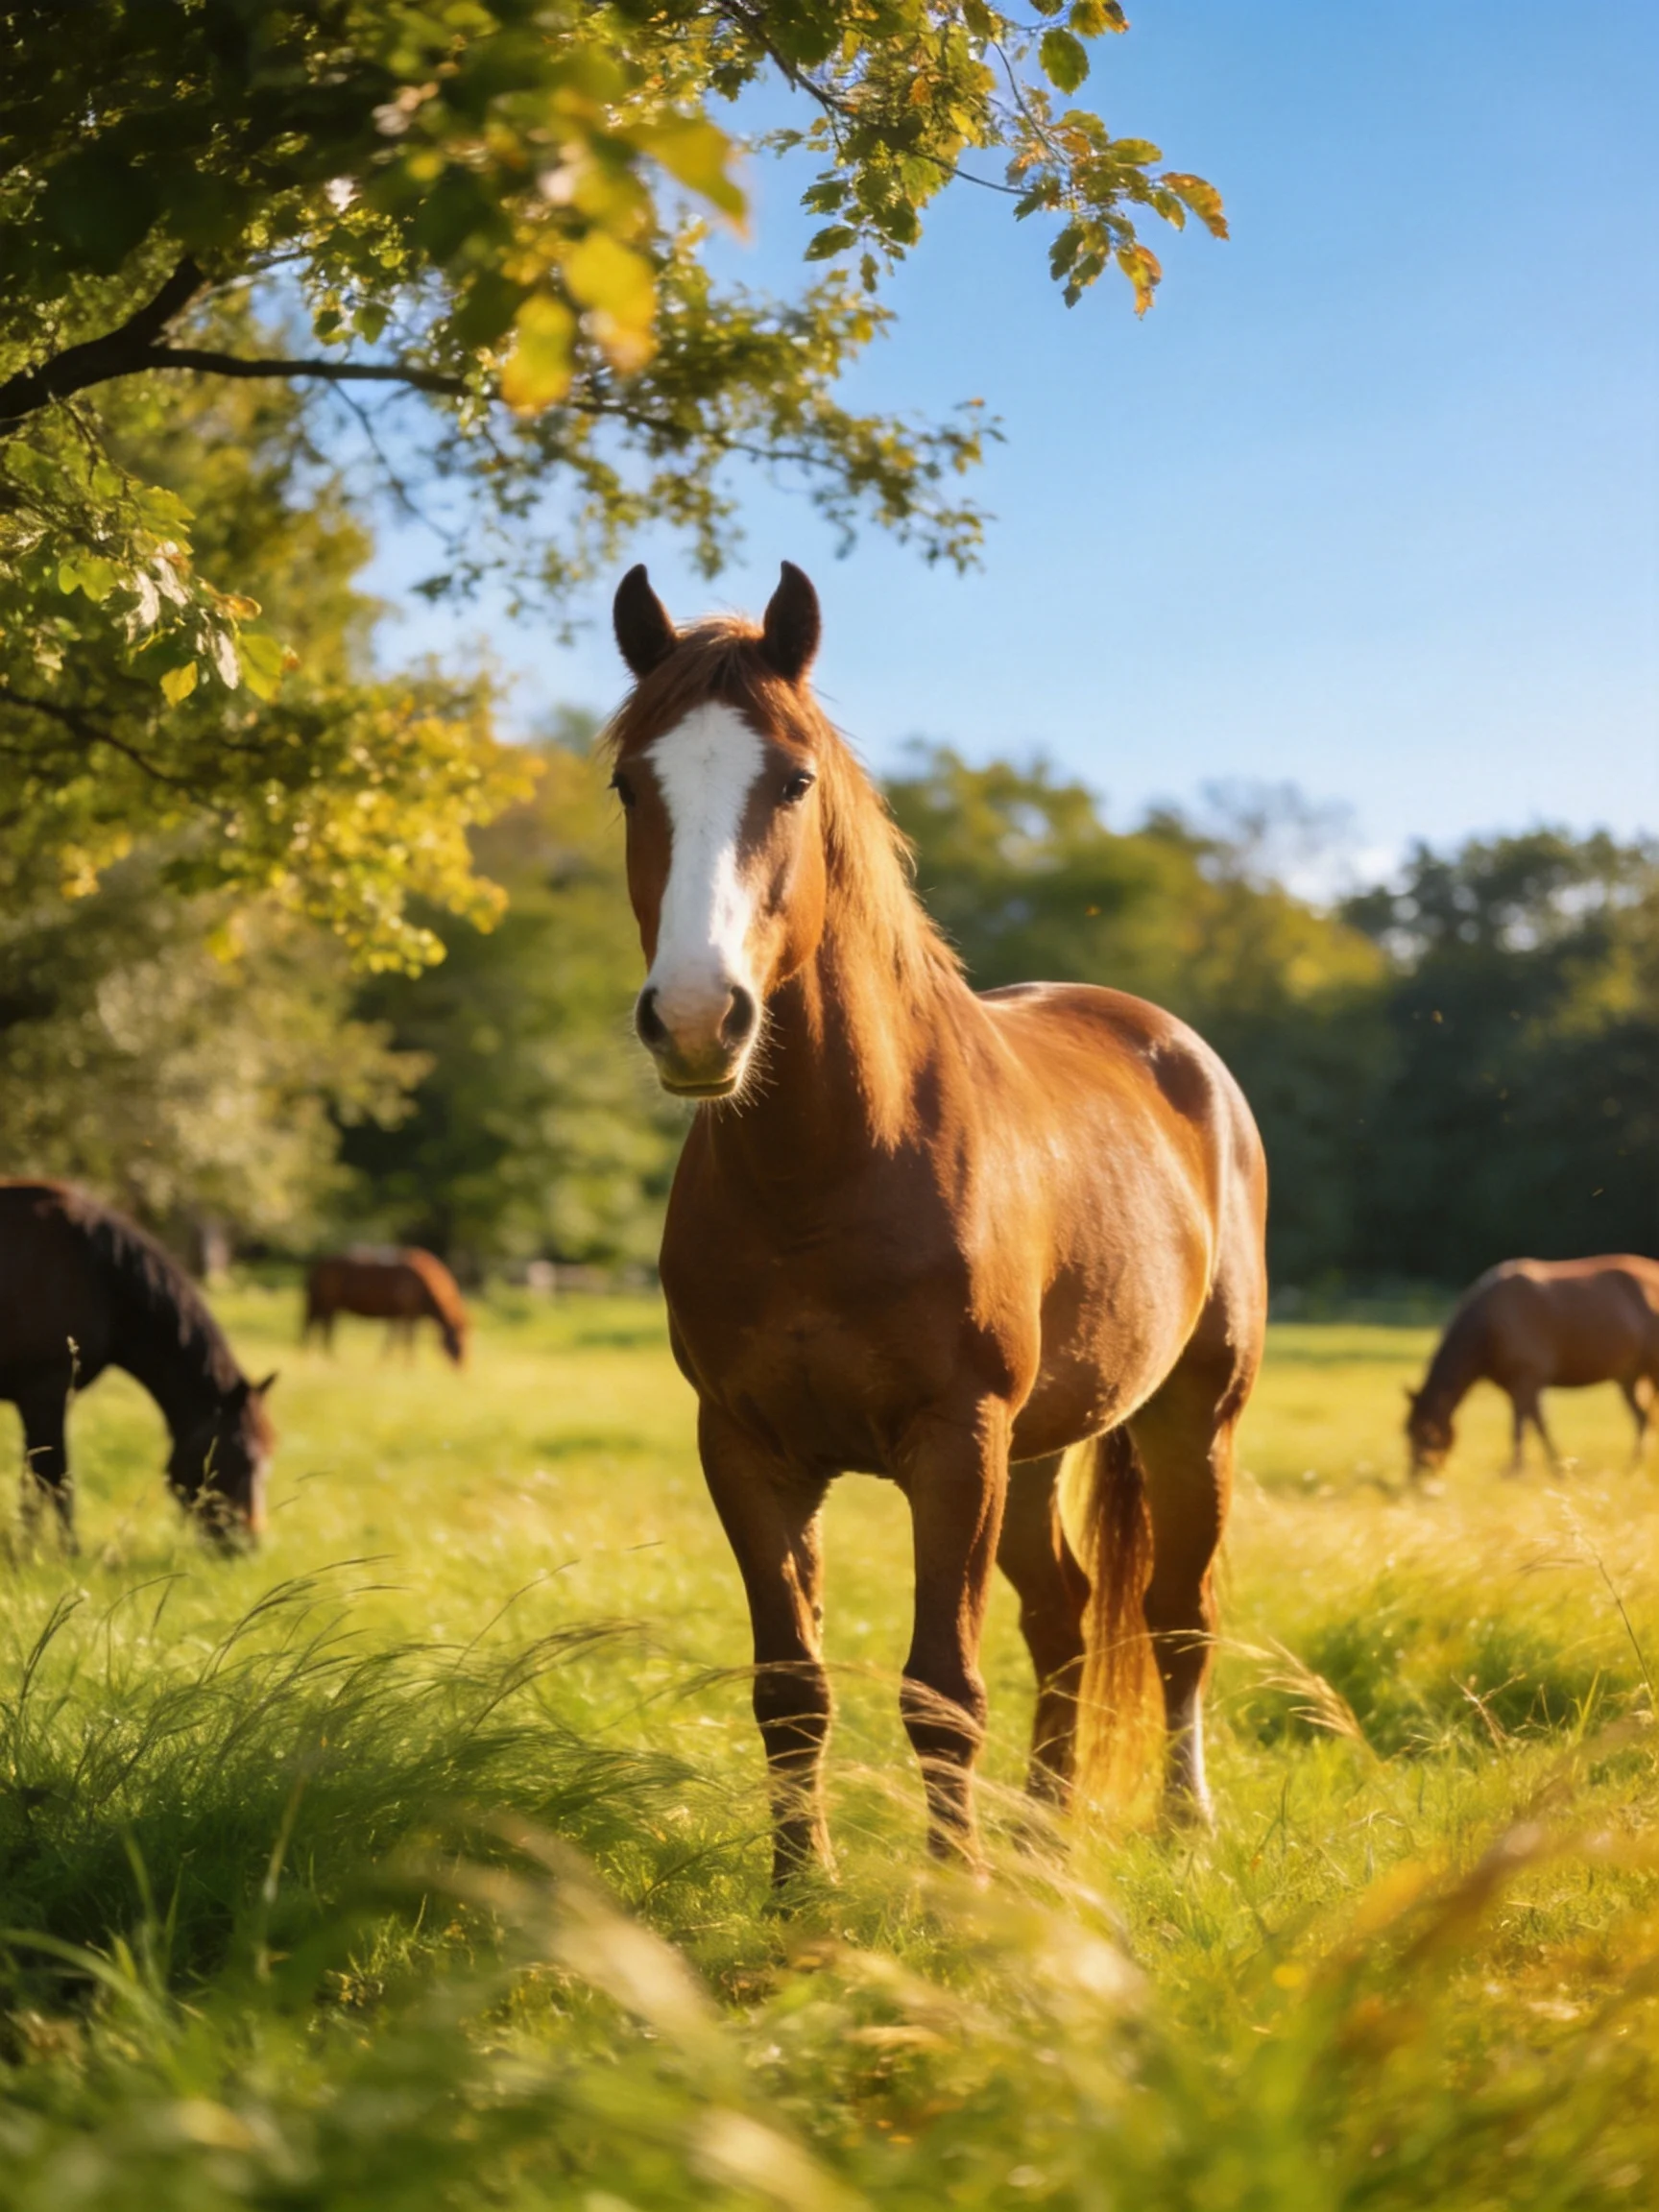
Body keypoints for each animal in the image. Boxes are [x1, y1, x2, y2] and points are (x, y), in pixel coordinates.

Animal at [0, 1181, 275, 1548]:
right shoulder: (45, 1394)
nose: (248, 1545)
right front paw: (62, 1554)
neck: (98, 1271)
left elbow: (36, 1480)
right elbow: (54, 1479)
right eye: (245, 1455)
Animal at [303, 1250, 469, 1367]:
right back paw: (329, 1357)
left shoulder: (401, 1314)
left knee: (315, 1324)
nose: (463, 1367)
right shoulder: (407, 1313)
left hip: (322, 1303)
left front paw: (387, 1361)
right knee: (325, 1327)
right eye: (459, 1340)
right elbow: (407, 1339)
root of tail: (318, 1266)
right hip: (327, 1304)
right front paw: (408, 1365)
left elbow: (394, 1338)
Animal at [605, 561, 1269, 1880]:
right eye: (627, 784)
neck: (824, 1176)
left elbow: (942, 1691)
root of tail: (1177, 1048)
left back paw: (1184, 1823)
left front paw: (951, 1898)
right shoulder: (746, 1450)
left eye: (794, 779)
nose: (698, 1019)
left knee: (1177, 1620)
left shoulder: (954, 1443)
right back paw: (1044, 1831)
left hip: (1189, 1420)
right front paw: (799, 1891)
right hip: (1042, 1447)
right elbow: (790, 1687)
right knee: (1067, 1617)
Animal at [1406, 1255, 1659, 1478]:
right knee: (1643, 1417)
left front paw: (1523, 1471)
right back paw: (1633, 1466)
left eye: (1428, 1434)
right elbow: (1530, 1424)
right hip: (1629, 1375)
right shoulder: (1516, 1385)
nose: (1416, 1481)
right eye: (1407, 1431)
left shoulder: (1529, 1376)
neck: (1489, 1328)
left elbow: (1526, 1427)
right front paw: (1547, 1468)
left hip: (1651, 1367)